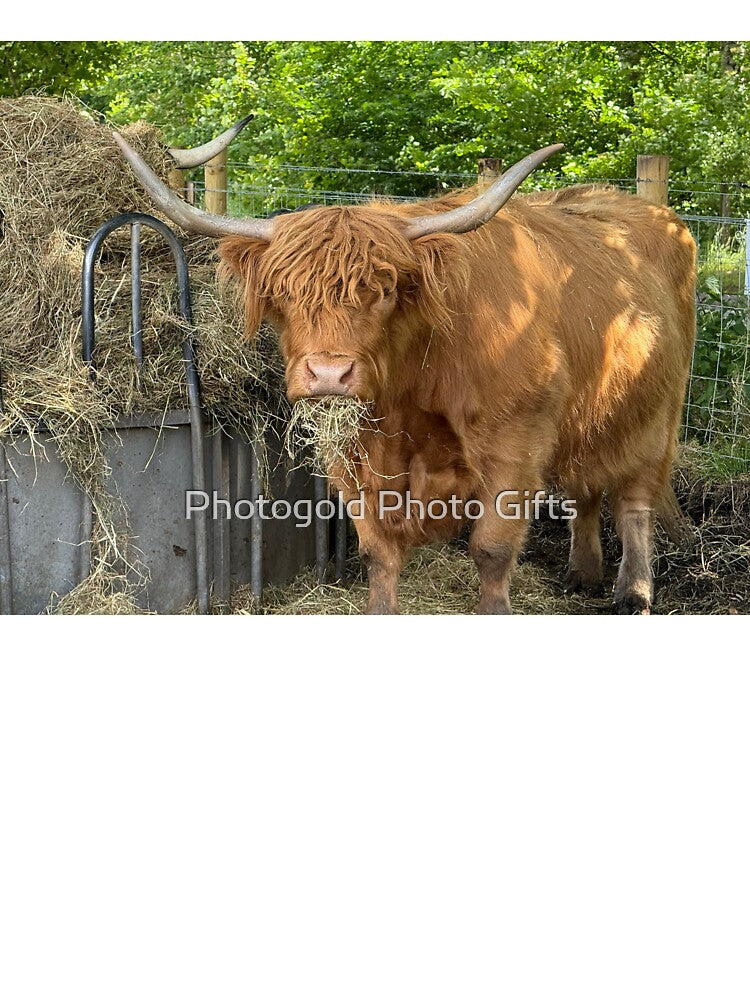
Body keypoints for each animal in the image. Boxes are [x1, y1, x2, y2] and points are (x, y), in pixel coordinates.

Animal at [113, 130, 697, 615]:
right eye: (284, 294)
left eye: (386, 289)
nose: (329, 374)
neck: (412, 392)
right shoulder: (354, 456)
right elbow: (378, 552)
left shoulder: (515, 444)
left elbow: (491, 549)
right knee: (587, 485)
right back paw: (582, 572)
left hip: (657, 413)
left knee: (634, 499)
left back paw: (633, 592)